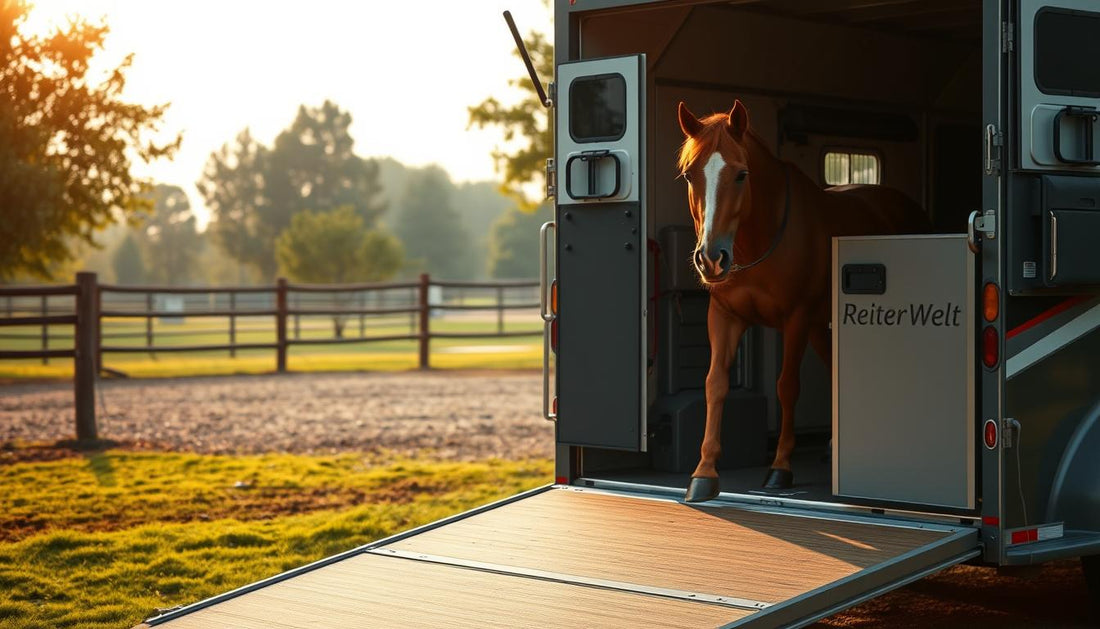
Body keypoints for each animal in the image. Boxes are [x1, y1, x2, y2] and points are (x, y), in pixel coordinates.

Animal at [676, 100, 930, 503]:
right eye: (689, 175)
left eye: (741, 174)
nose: (711, 259)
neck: (759, 239)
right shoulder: (725, 317)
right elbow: (714, 385)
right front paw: (703, 473)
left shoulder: (794, 318)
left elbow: (787, 386)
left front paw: (780, 467)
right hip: (821, 326)